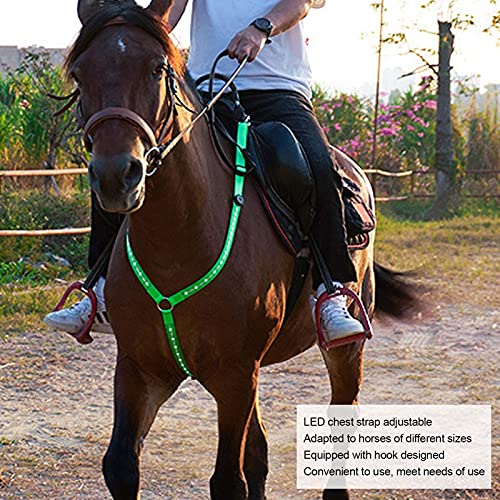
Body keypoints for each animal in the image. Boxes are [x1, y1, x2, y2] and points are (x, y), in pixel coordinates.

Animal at [66, 0, 418, 500]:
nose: (117, 176)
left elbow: (228, 481)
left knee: (342, 417)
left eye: (156, 68)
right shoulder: (139, 370)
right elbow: (120, 465)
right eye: (80, 74)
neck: (180, 243)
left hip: (343, 350)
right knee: (260, 452)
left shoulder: (234, 375)